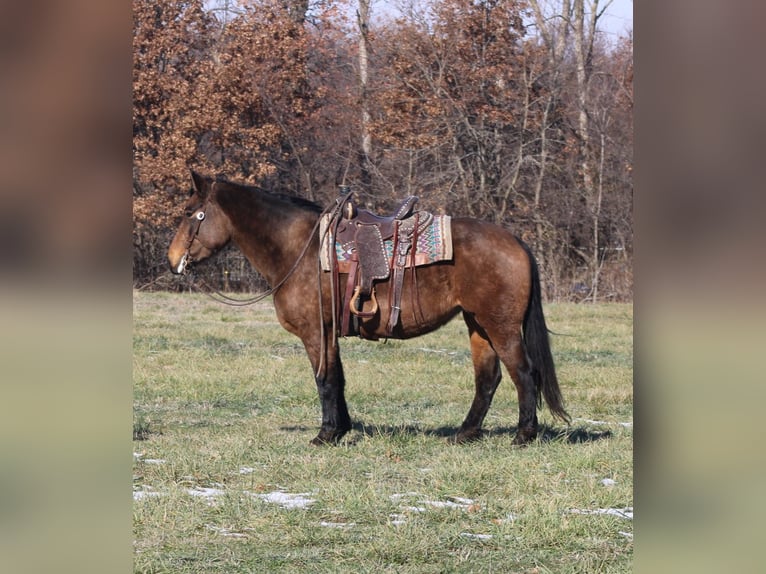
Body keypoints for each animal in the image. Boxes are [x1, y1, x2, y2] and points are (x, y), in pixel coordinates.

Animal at [167, 171, 570, 446]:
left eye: (189, 212)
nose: (172, 260)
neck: (300, 249)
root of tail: (515, 242)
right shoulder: (331, 332)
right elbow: (339, 378)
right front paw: (340, 429)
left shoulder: (315, 332)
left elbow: (325, 379)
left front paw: (326, 434)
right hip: (478, 325)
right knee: (488, 378)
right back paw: (465, 433)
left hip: (500, 325)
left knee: (523, 373)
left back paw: (523, 436)